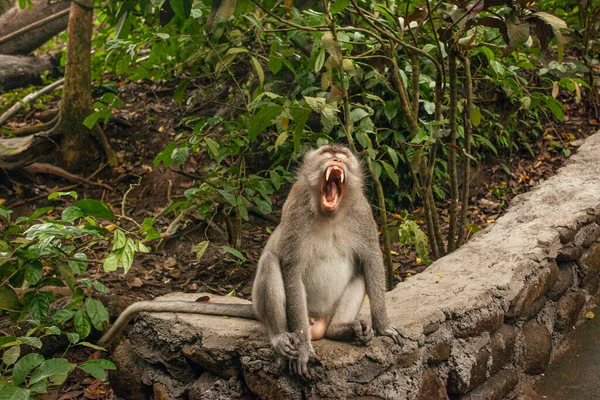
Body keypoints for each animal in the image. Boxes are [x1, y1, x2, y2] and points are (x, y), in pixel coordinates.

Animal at [98, 145, 400, 376]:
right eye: (327, 153)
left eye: (343, 155)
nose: (336, 160)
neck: (331, 213)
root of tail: (319, 321)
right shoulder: (295, 209)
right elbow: (291, 267)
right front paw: (303, 348)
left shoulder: (363, 212)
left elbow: (371, 259)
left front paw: (383, 326)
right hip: (288, 313)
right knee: (269, 262)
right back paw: (280, 336)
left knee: (360, 272)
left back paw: (341, 329)